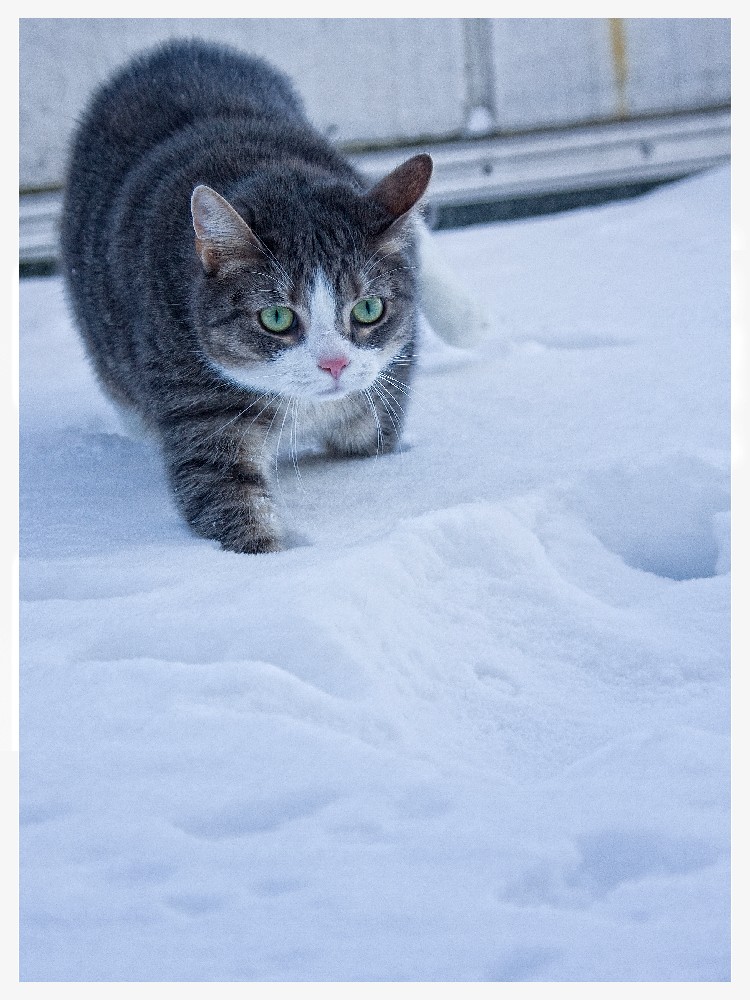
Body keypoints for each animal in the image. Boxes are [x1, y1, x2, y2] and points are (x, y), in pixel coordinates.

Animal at [60, 37, 482, 556]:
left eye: (368, 308)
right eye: (277, 318)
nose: (335, 364)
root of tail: (176, 48)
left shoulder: (383, 383)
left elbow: (371, 437)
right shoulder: (194, 394)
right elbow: (222, 488)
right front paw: (275, 563)